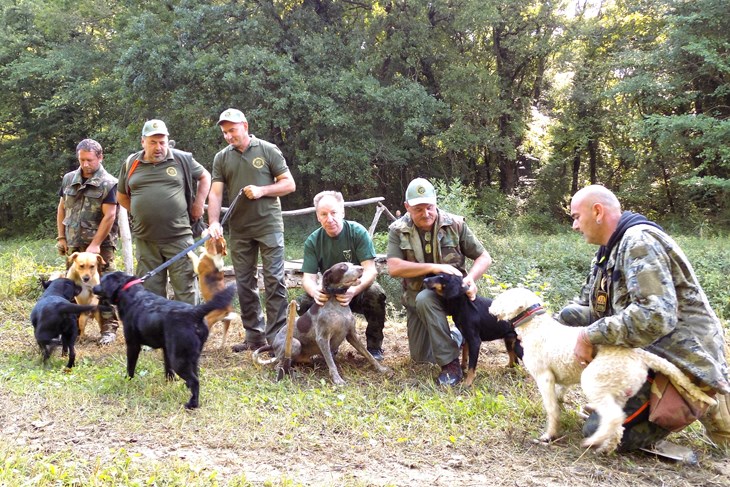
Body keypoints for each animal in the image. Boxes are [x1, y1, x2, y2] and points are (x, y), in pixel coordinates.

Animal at [91, 272, 233, 410]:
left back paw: (192, 404)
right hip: (191, 356)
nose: (93, 287)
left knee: (195, 381)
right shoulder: (166, 349)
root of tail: (194, 313)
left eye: (102, 281)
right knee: (195, 375)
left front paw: (127, 380)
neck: (129, 292)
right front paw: (170, 382)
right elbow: (167, 368)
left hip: (179, 359)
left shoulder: (132, 344)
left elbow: (130, 366)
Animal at [486, 290, 712, 454]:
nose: (489, 307)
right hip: (618, 390)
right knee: (619, 424)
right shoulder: (562, 379)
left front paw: (549, 434)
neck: (536, 326)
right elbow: (560, 395)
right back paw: (605, 448)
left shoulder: (545, 377)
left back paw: (593, 441)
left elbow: (551, 408)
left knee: (613, 418)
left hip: (594, 381)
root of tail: (639, 355)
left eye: (503, 298)